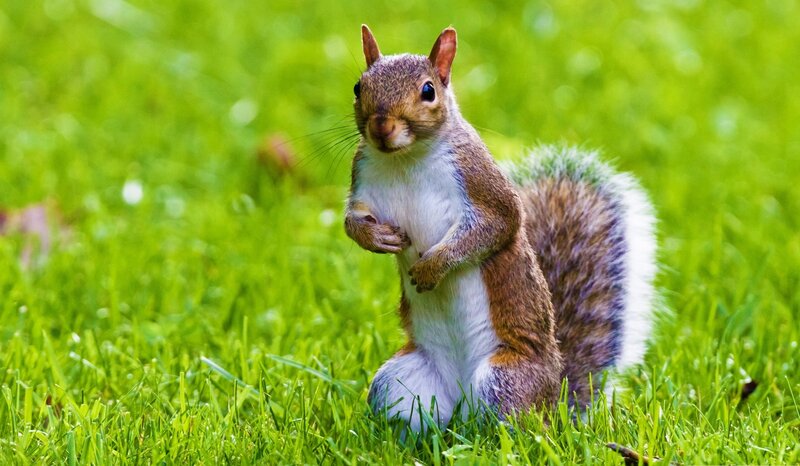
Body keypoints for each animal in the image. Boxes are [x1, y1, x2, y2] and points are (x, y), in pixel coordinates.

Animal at [344, 25, 657, 432]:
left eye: (428, 91)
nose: (381, 126)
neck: (404, 159)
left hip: (503, 380)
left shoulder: (480, 183)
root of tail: (554, 401)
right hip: (398, 383)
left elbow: (496, 228)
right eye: (358, 87)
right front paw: (377, 238)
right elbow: (352, 222)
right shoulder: (362, 179)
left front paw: (432, 267)